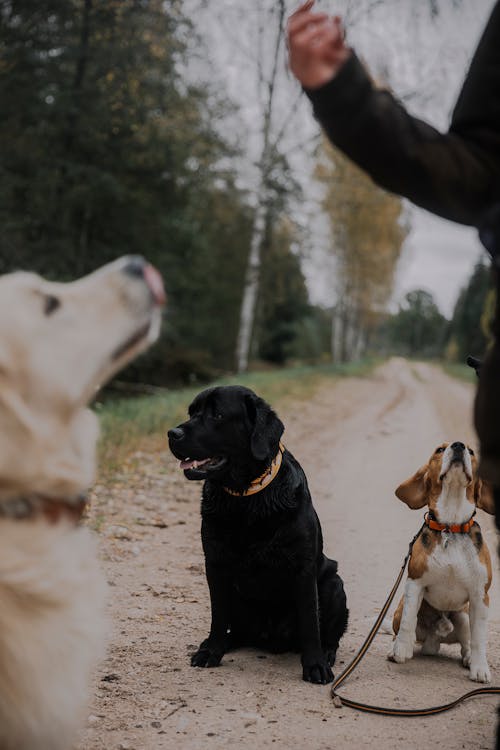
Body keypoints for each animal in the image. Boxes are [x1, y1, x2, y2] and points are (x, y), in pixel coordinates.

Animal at [168, 384, 348, 684]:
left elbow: (310, 621)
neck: (246, 499)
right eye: (192, 412)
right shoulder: (215, 564)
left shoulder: (303, 568)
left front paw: (315, 664)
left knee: (330, 633)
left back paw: (327, 652)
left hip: (334, 584)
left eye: (217, 414)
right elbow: (218, 615)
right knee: (236, 629)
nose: (172, 433)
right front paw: (211, 650)